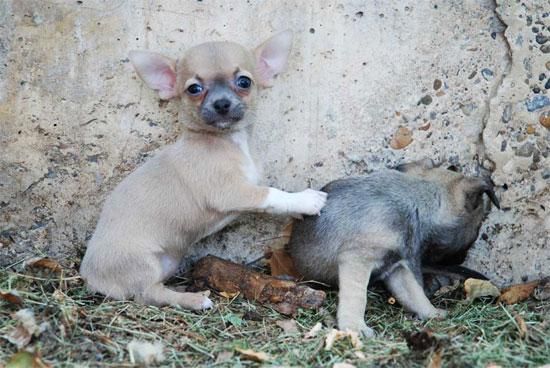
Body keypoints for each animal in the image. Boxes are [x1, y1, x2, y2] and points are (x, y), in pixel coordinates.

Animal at [82, 30, 328, 310]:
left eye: (244, 82)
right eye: (194, 89)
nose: (221, 104)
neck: (229, 141)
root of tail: (88, 275)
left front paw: (298, 210)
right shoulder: (231, 191)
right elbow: (270, 194)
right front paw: (305, 200)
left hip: (168, 261)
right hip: (143, 264)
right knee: (149, 294)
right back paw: (194, 299)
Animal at [292, 158, 502, 336]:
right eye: (477, 228)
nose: (462, 259)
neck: (414, 198)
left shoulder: (398, 268)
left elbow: (415, 295)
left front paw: (432, 313)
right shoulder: (357, 259)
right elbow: (357, 296)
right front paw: (355, 327)